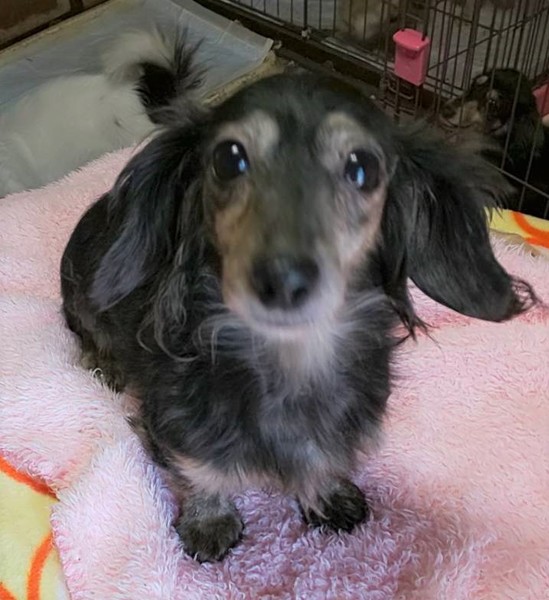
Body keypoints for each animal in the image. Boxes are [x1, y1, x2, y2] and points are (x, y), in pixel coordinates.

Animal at [60, 71, 536, 562]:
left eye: (362, 167)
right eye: (228, 159)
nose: (282, 280)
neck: (292, 359)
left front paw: (326, 493)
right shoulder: (176, 419)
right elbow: (199, 468)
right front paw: (209, 519)